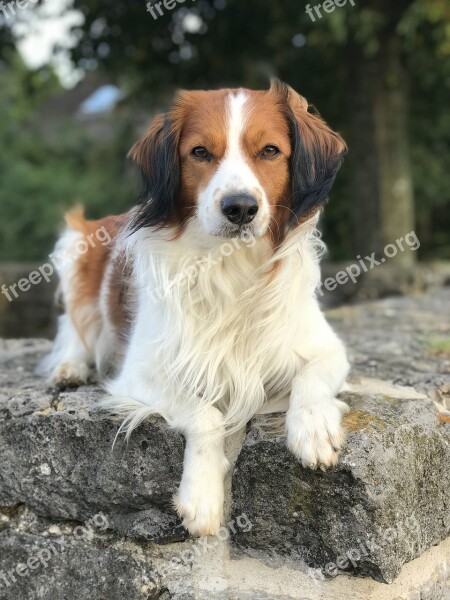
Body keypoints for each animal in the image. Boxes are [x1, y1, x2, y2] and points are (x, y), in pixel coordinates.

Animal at [40, 79, 350, 536]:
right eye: (200, 152)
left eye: (270, 151)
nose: (240, 208)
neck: (229, 265)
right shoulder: (139, 374)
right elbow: (206, 415)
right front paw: (202, 497)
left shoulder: (328, 348)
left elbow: (312, 377)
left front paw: (313, 428)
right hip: (74, 247)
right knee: (73, 330)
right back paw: (69, 367)